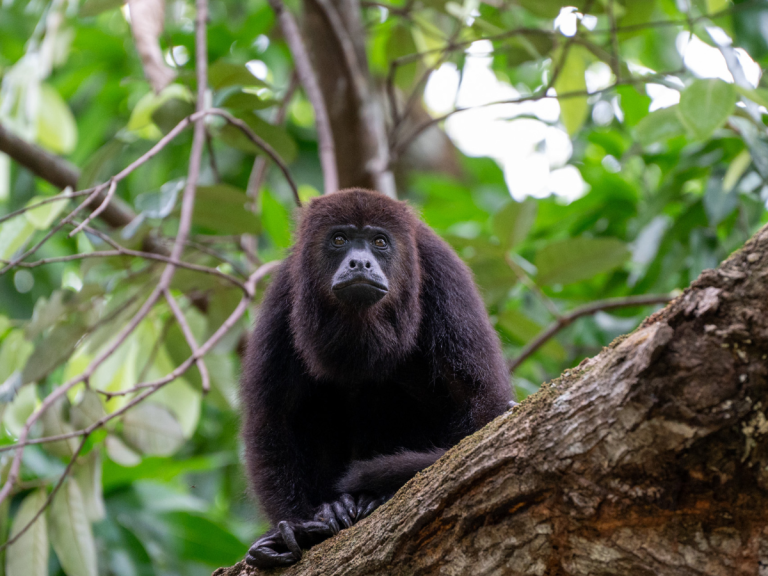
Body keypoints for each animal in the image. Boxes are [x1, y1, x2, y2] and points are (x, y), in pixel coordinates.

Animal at [241, 189, 511, 568]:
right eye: (339, 239)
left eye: (380, 242)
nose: (360, 263)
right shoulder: (284, 294)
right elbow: (274, 417)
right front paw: (295, 528)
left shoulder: (444, 274)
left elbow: (479, 400)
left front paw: (378, 494)